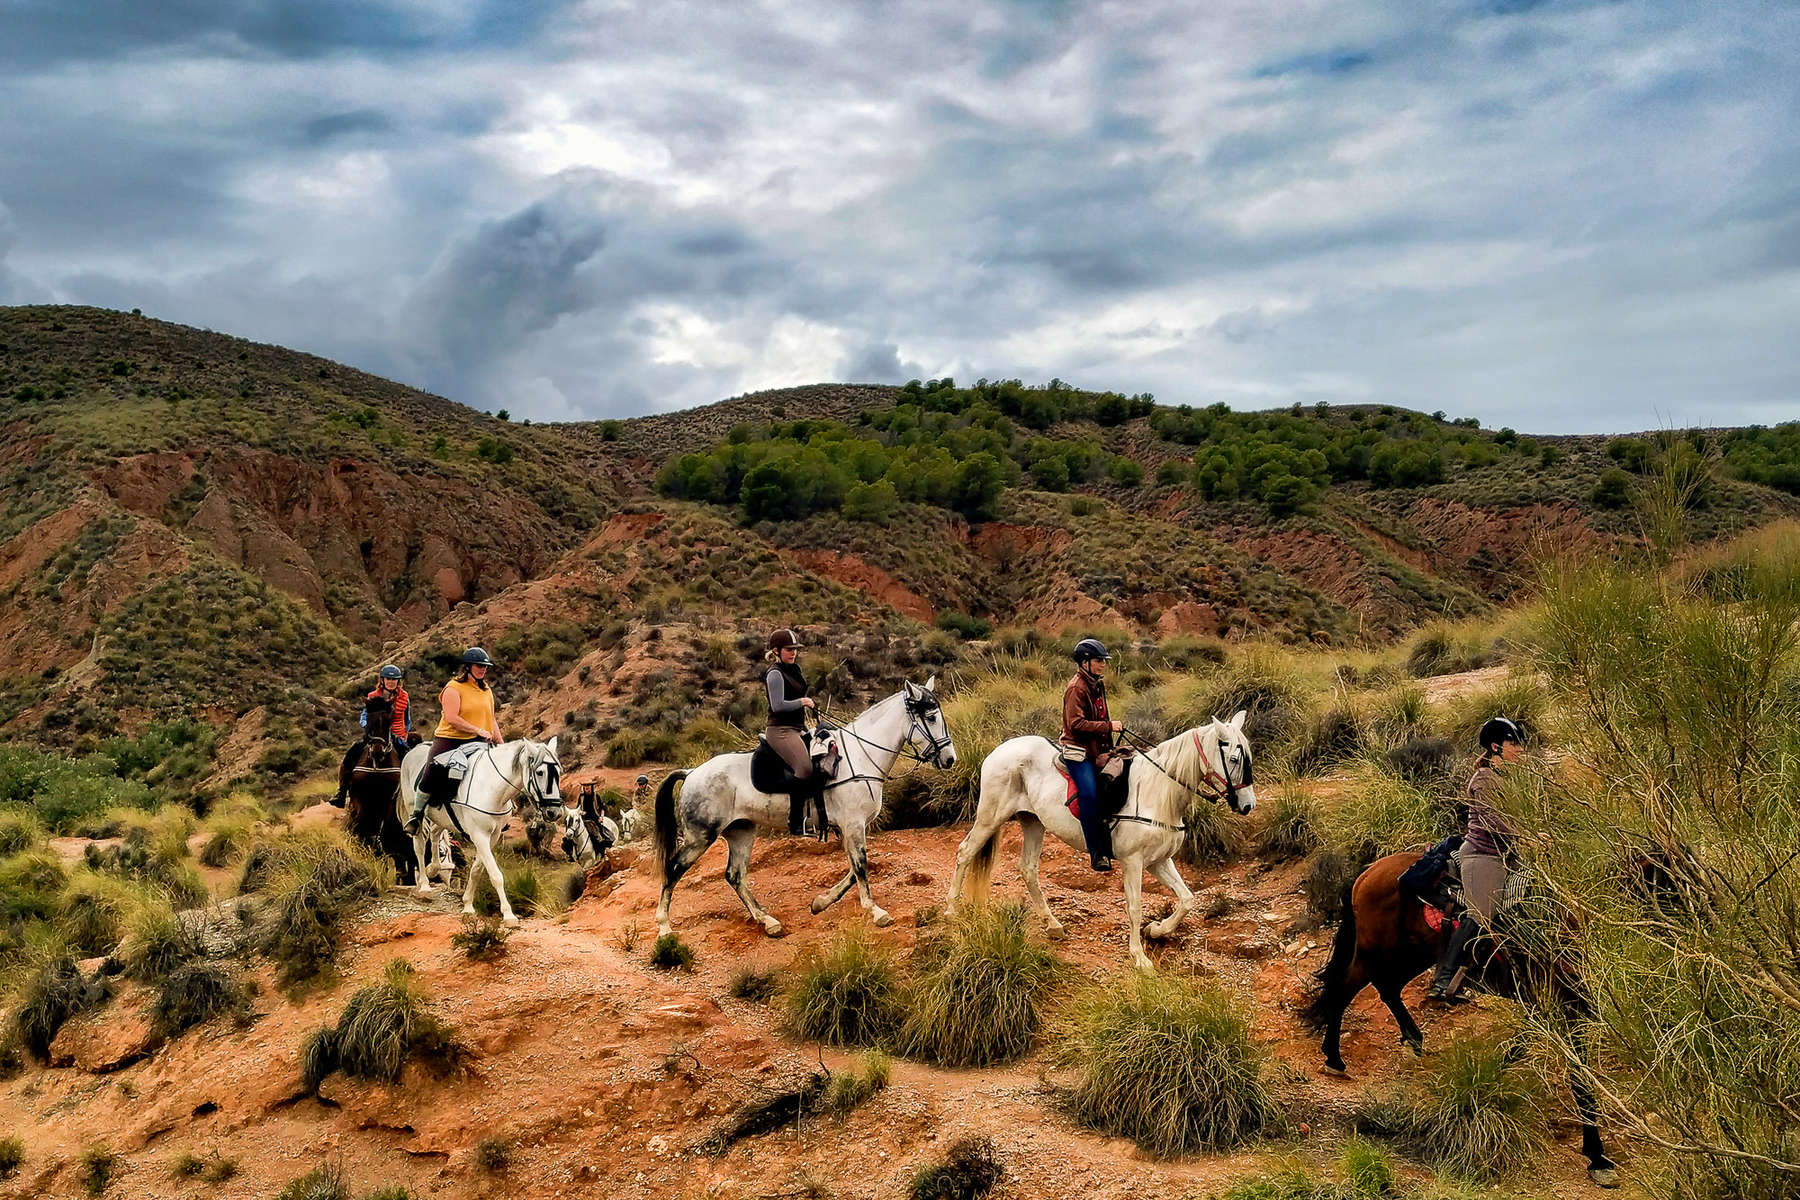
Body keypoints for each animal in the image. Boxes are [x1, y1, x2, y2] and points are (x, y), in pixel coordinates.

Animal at [399, 737, 561, 928]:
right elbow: (496, 875)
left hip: (443, 818)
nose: (554, 812)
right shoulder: (479, 835)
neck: (491, 787)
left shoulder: (492, 836)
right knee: (419, 845)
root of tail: (413, 750)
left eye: (558, 772)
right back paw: (424, 884)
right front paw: (508, 914)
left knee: (435, 832)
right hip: (415, 811)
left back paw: (434, 867)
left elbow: (477, 870)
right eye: (540, 772)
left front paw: (468, 905)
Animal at [651, 680, 957, 935]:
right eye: (931, 718)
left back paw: (768, 921)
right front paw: (876, 912)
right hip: (700, 836)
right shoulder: (853, 824)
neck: (860, 756)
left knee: (735, 875)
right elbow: (860, 866)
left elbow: (853, 869)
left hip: (741, 831)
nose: (950, 759)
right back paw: (664, 927)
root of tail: (692, 772)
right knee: (673, 869)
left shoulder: (849, 827)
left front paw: (821, 902)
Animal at [950, 708, 1260, 971]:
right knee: (965, 852)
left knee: (1028, 869)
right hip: (991, 816)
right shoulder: (1133, 862)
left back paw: (1052, 924)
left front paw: (1157, 930)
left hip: (1033, 822)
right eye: (1234, 759)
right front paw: (1139, 957)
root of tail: (997, 752)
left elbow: (1187, 899)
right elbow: (1134, 907)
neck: (1158, 792)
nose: (1247, 805)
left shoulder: (1159, 861)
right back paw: (950, 910)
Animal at [1303, 849, 1627, 1187]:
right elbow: (1578, 1078)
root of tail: (1367, 873)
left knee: (1388, 987)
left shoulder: (1564, 1011)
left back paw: (1413, 1039)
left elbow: (1540, 1054)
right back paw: (1334, 1058)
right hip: (1375, 953)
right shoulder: (1555, 1008)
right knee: (1344, 991)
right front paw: (1597, 1156)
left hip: (1413, 953)